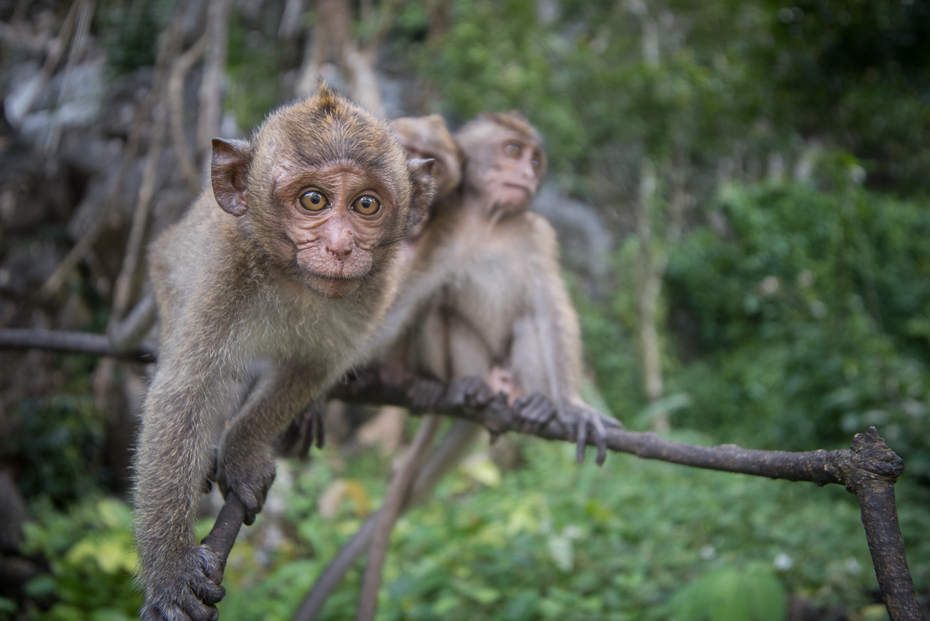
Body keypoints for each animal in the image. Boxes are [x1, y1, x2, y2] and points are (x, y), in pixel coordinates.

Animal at [134, 83, 436, 620]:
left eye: (366, 205)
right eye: (313, 199)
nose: (340, 247)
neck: (293, 280)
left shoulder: (375, 290)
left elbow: (313, 366)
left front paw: (243, 449)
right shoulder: (224, 272)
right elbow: (184, 392)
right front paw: (169, 572)